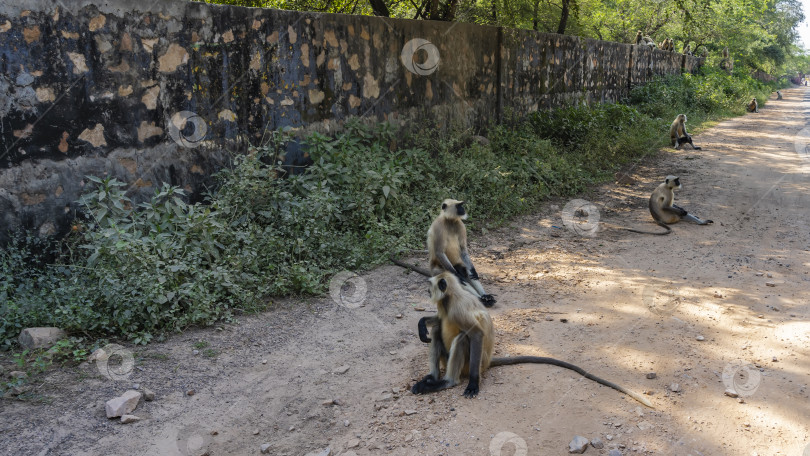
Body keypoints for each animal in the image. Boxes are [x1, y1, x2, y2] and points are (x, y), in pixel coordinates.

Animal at [410, 270, 652, 406]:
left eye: (430, 286)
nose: (426, 291)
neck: (449, 298)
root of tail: (486, 362)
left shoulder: (458, 308)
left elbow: (476, 333)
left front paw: (473, 385)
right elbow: (436, 320)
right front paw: (421, 323)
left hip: (471, 364)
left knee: (462, 338)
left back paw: (447, 382)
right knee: (437, 330)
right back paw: (432, 378)